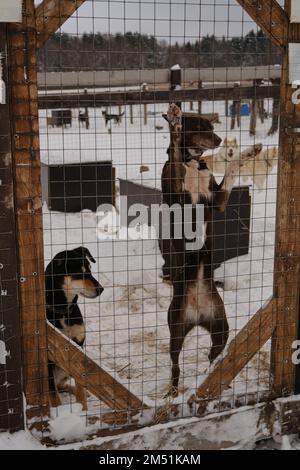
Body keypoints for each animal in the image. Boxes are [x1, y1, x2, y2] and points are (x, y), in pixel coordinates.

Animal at [45, 246, 104, 408]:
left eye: (90, 269)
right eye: (79, 273)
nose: (101, 289)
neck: (63, 311)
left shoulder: (77, 347)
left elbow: (80, 386)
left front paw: (82, 409)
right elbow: (53, 396)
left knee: (62, 386)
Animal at [162, 103, 262, 396]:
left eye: (211, 126)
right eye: (198, 127)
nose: (218, 140)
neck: (193, 162)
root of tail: (197, 312)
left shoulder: (216, 200)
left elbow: (232, 171)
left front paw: (249, 152)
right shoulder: (176, 190)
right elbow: (175, 150)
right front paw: (174, 122)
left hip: (220, 327)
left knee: (213, 358)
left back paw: (211, 378)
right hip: (175, 329)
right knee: (175, 366)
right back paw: (174, 393)